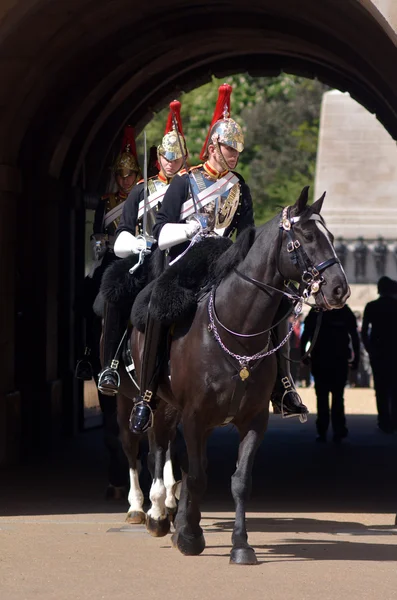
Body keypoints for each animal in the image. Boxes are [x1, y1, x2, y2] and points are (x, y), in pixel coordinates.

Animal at [129, 188, 346, 564]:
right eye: (306, 237)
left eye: (331, 237)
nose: (339, 289)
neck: (237, 331)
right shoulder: (195, 417)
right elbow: (198, 475)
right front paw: (189, 536)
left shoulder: (254, 419)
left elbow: (239, 480)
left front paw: (240, 545)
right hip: (158, 400)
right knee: (158, 445)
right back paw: (157, 513)